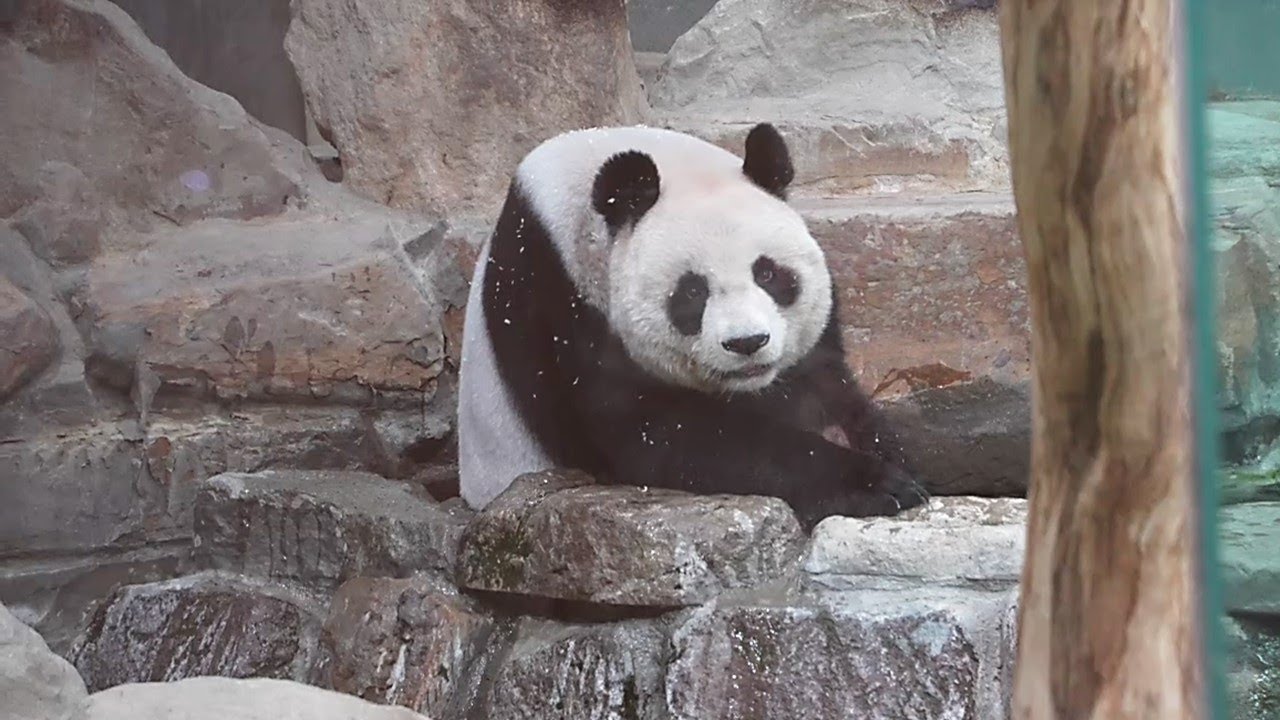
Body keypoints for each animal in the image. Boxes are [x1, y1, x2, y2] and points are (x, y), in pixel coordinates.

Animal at [456, 123, 926, 530]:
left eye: (768, 274)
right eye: (692, 291)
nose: (747, 342)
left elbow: (825, 391)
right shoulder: (562, 309)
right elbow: (667, 437)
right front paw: (873, 484)